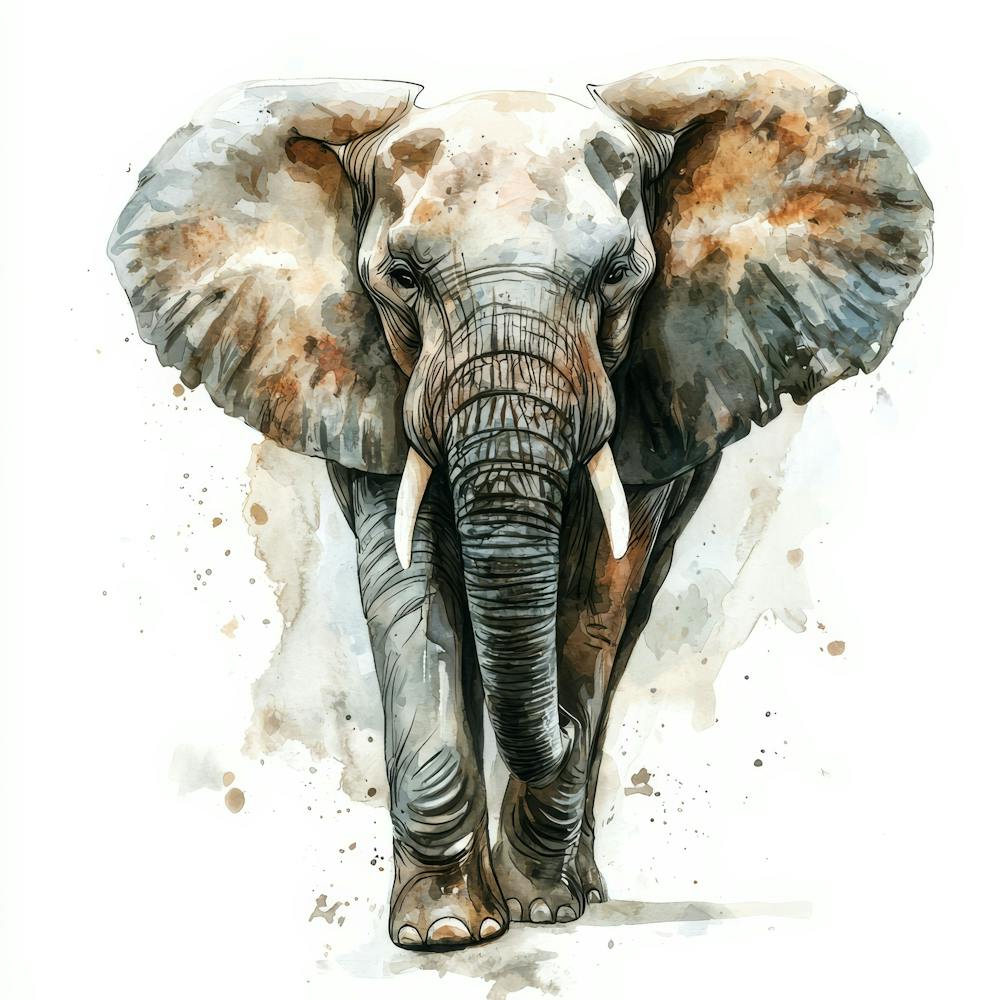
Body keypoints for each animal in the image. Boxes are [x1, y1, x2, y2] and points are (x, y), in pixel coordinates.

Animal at [108, 60, 933, 951]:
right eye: (403, 279)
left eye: (616, 275)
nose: (561, 726)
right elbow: (410, 583)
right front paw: (445, 931)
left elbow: (600, 589)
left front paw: (541, 906)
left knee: (632, 613)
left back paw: (581, 878)